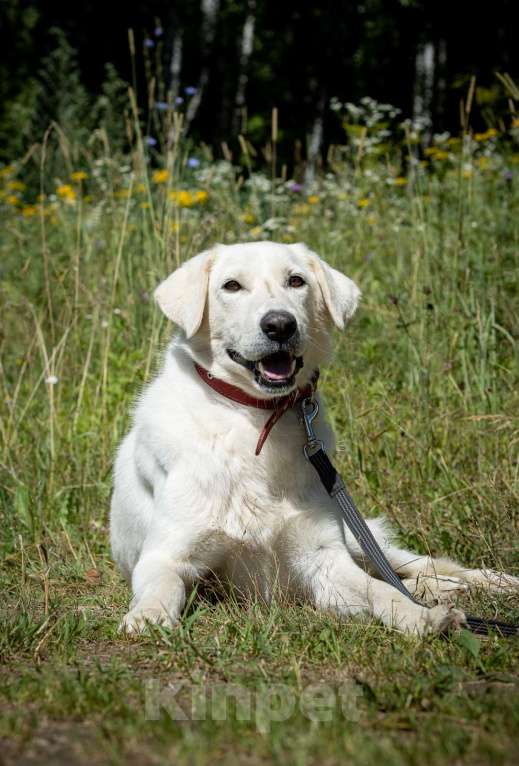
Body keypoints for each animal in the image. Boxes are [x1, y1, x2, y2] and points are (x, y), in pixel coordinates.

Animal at [110, 244, 519, 636]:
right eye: (232, 286)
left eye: (296, 281)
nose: (280, 325)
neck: (254, 421)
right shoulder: (165, 556)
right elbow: (161, 587)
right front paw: (148, 616)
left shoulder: (324, 559)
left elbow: (381, 591)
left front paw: (420, 618)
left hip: (360, 539)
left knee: (417, 565)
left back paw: (492, 583)